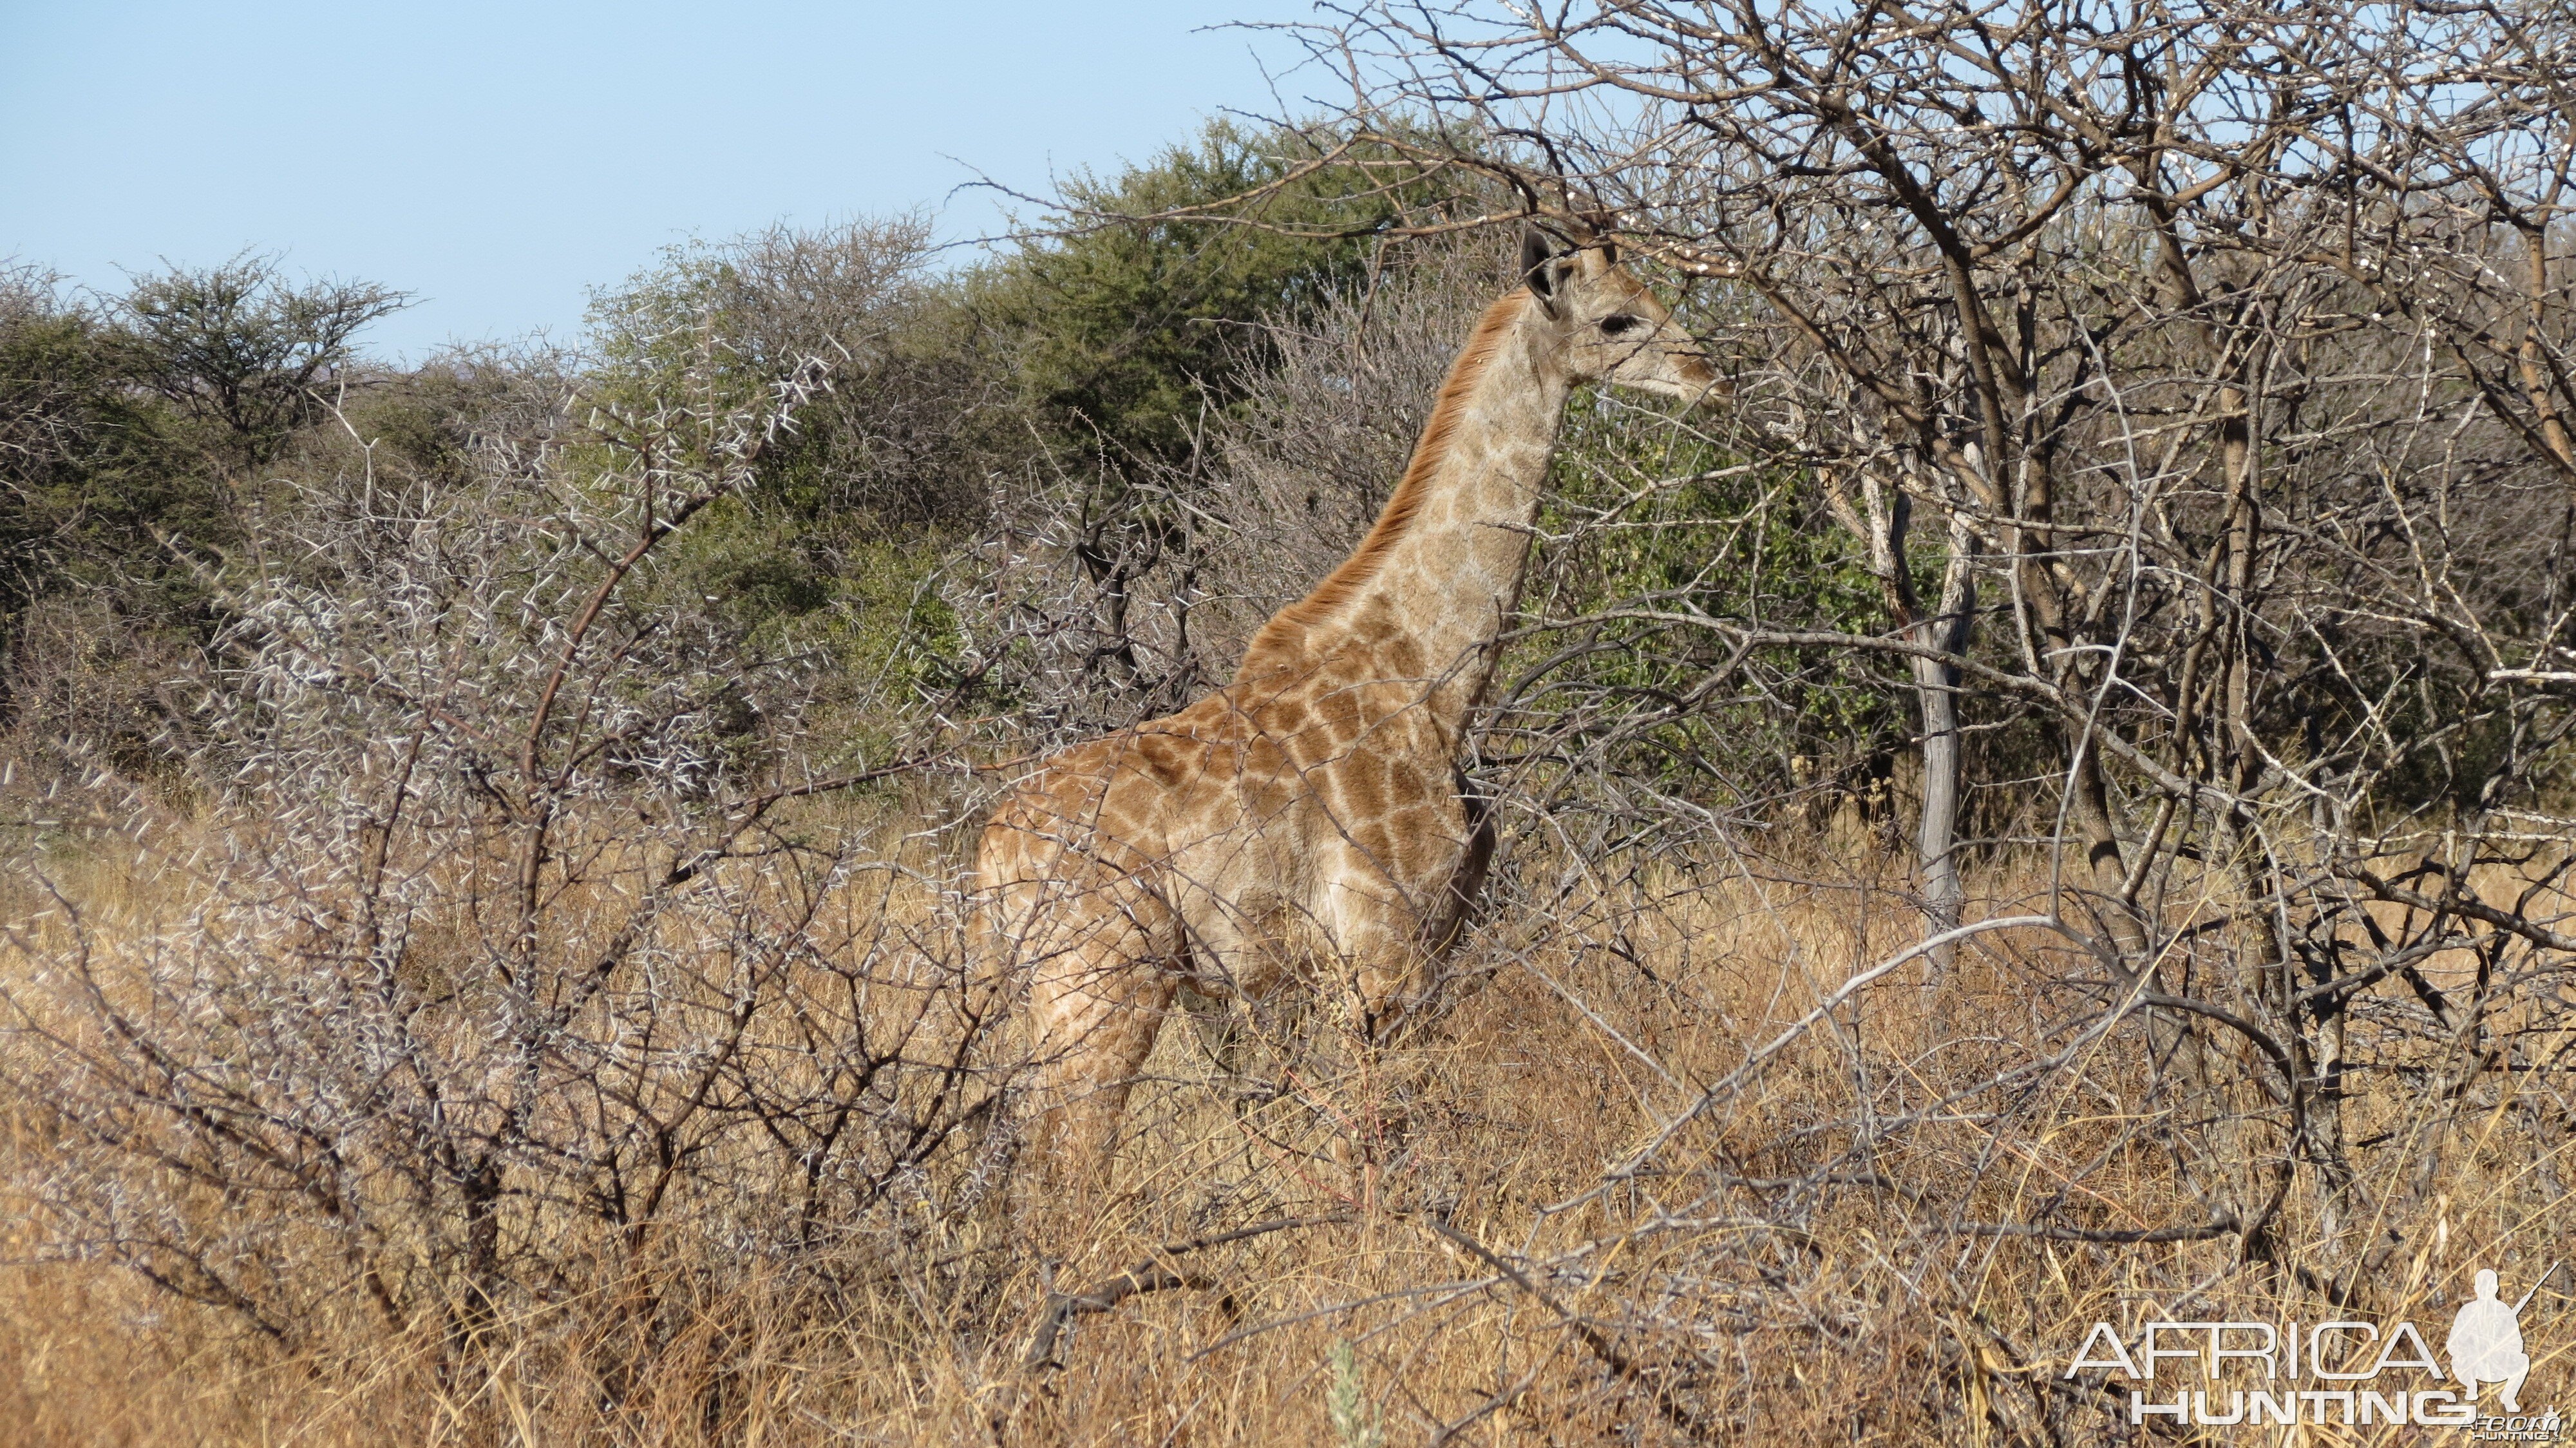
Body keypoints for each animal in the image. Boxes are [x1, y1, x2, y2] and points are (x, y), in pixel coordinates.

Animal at [969, 220, 1710, 1180]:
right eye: (1617, 318)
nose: (1707, 372)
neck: (1431, 678)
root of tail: (988, 858)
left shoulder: (1430, 944)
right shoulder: (1382, 948)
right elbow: (1382, 1135)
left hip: (1048, 1001)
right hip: (1102, 987)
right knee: (1068, 1163)